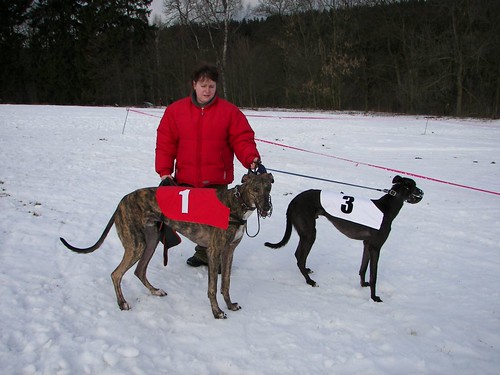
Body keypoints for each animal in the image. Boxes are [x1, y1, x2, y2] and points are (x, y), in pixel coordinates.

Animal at [61, 174, 278, 320]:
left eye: (268, 188)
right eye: (255, 189)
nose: (266, 208)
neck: (235, 204)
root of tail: (121, 202)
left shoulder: (229, 252)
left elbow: (226, 284)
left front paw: (230, 305)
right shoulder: (215, 251)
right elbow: (212, 288)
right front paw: (217, 312)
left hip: (152, 240)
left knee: (139, 271)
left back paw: (155, 291)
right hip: (137, 244)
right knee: (116, 274)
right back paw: (122, 303)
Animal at [264, 176, 424, 302]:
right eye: (413, 186)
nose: (422, 192)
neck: (386, 208)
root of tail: (293, 202)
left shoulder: (367, 245)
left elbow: (363, 268)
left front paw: (363, 284)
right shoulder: (376, 248)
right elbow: (374, 275)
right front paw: (374, 297)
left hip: (305, 233)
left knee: (298, 255)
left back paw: (307, 272)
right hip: (310, 233)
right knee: (300, 257)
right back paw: (310, 282)